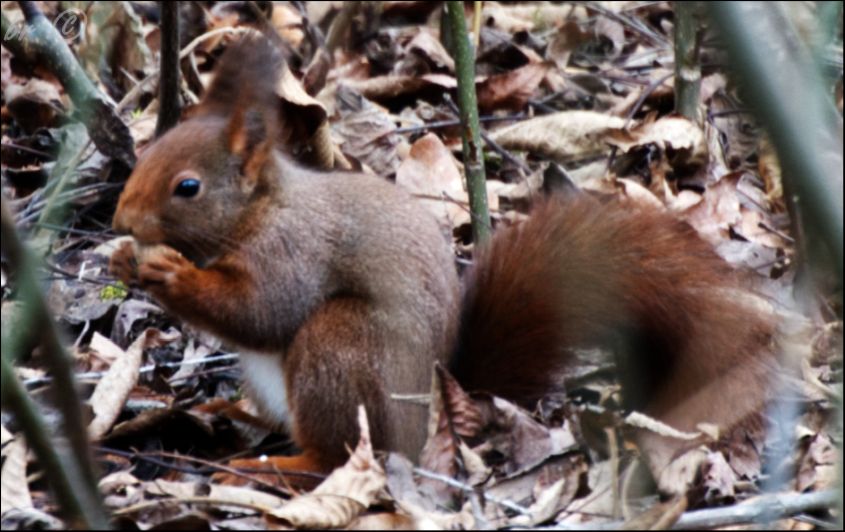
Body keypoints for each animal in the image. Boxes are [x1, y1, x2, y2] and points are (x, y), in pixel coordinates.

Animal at [109, 32, 776, 490]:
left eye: (187, 187)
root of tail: (438, 414)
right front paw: (122, 261)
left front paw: (168, 273)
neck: (260, 210)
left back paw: (271, 465)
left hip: (338, 348)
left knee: (338, 455)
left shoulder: (293, 250)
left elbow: (262, 310)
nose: (119, 220)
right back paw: (228, 415)